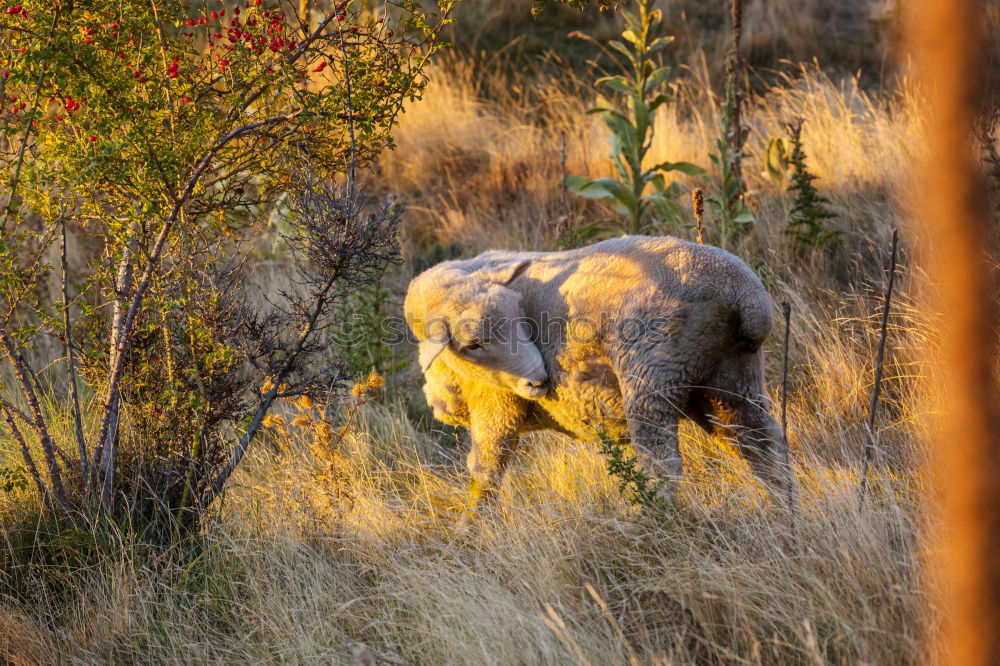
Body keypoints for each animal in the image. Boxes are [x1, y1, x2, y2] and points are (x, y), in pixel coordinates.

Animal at [402, 233, 792, 504]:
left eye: (520, 314)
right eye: (473, 344)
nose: (540, 379)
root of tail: (744, 295)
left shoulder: (496, 407)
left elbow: (485, 476)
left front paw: (470, 531)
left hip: (651, 372)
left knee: (663, 467)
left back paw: (659, 523)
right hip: (731, 381)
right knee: (765, 449)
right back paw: (785, 516)